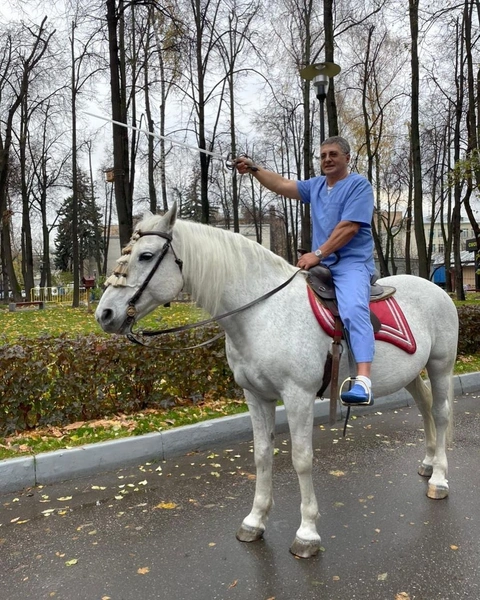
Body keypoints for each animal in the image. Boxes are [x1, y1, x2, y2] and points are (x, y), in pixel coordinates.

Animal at [94, 204, 458, 560]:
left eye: (146, 255)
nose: (104, 314)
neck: (262, 313)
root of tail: (437, 289)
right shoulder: (256, 396)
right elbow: (262, 455)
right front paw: (255, 521)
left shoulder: (298, 396)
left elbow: (301, 458)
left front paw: (307, 533)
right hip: (412, 373)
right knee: (425, 406)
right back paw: (428, 464)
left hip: (440, 365)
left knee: (440, 414)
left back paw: (440, 479)